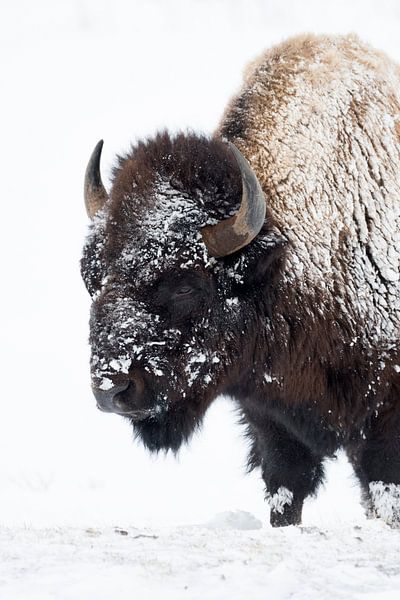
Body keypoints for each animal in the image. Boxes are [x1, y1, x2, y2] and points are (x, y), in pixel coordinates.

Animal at [81, 35, 400, 528]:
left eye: (186, 285)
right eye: (92, 277)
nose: (112, 389)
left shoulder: (385, 425)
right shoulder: (272, 422)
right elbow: (286, 492)